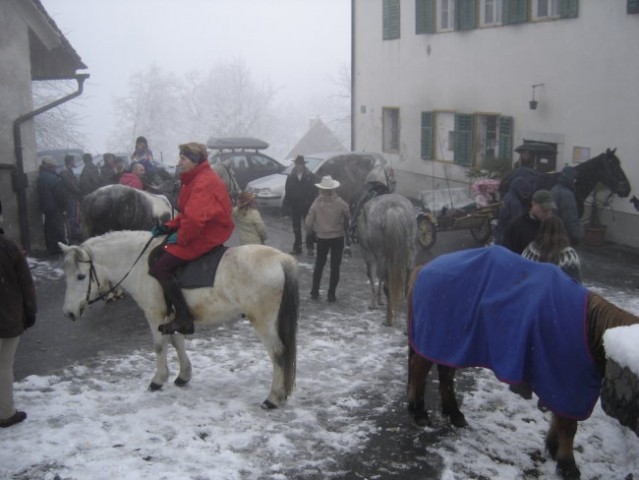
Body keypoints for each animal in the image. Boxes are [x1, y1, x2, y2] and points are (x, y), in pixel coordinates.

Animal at [58, 232, 298, 408]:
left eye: (80, 276)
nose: (68, 313)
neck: (139, 264)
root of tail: (281, 259)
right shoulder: (174, 316)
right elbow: (176, 341)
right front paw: (184, 375)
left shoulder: (154, 313)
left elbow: (159, 346)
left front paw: (158, 379)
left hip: (263, 320)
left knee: (278, 352)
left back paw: (273, 397)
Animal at [358, 192, 418, 326]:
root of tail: (393, 208)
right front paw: (379, 299)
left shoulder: (367, 253)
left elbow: (372, 275)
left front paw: (374, 302)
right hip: (410, 251)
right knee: (407, 277)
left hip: (381, 254)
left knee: (385, 280)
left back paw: (388, 319)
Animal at [408, 248, 639, 480]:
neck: (591, 332)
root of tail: (423, 268)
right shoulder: (567, 382)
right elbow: (568, 426)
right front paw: (567, 465)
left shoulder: (561, 385)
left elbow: (559, 419)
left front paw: (553, 448)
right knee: (419, 372)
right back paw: (419, 413)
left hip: (449, 343)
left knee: (445, 374)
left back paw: (454, 414)